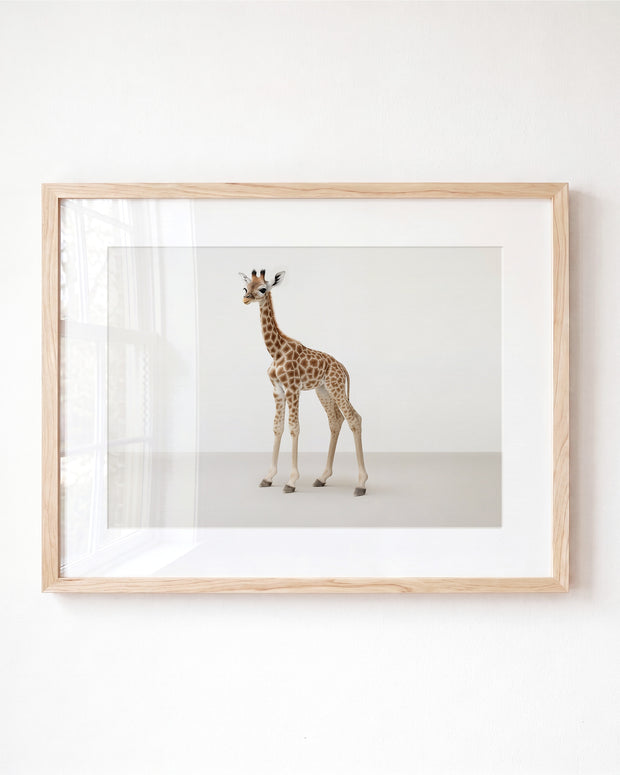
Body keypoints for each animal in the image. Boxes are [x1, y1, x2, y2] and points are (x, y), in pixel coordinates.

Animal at [239, 269, 368, 496]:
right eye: (245, 287)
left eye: (262, 289)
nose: (246, 298)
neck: (276, 351)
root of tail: (342, 367)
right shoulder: (277, 390)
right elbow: (277, 427)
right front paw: (268, 477)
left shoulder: (293, 388)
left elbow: (294, 427)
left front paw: (291, 481)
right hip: (323, 390)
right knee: (335, 420)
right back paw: (322, 477)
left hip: (335, 386)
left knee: (354, 418)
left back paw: (361, 484)